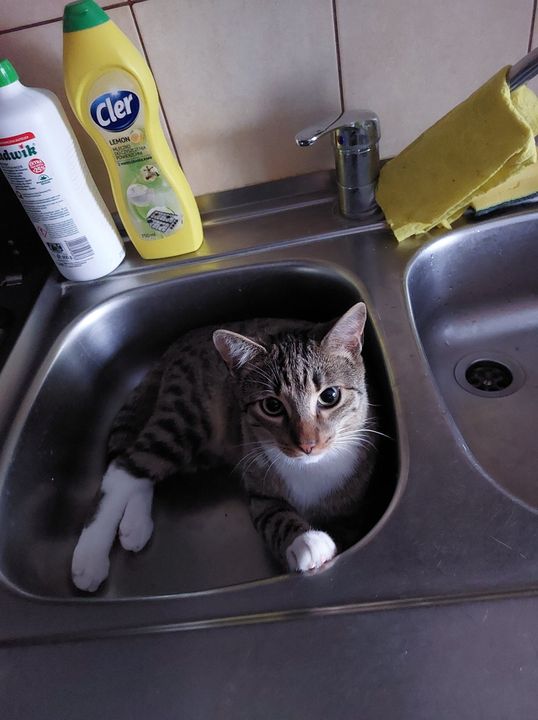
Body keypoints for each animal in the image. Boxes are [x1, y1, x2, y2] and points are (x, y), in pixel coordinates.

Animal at [71, 301, 378, 592]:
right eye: (272, 406)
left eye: (330, 396)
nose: (307, 444)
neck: (312, 468)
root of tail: (182, 340)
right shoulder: (260, 489)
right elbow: (274, 517)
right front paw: (306, 542)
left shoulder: (354, 509)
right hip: (187, 417)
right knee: (125, 466)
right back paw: (89, 558)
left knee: (142, 469)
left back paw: (134, 525)